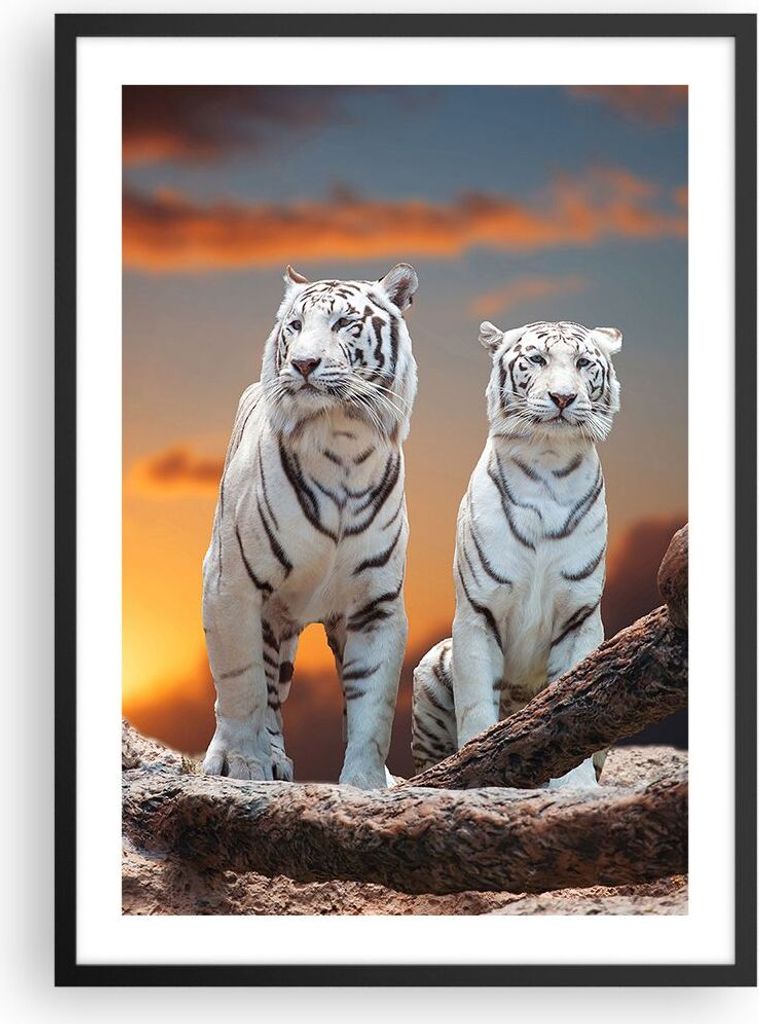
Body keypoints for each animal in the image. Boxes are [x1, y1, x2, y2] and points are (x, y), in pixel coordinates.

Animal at [202, 263, 419, 789]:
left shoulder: (377, 604)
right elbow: (241, 686)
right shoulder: (229, 584)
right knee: (261, 690)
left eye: (344, 324)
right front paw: (242, 765)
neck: (342, 441)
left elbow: (373, 706)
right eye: (295, 326)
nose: (303, 364)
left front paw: (367, 784)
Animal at [412, 318, 622, 788]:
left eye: (583, 363)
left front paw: (576, 787)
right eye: (537, 359)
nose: (563, 397)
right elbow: (476, 706)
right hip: (432, 666)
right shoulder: (477, 612)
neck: (548, 462)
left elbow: (576, 704)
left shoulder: (580, 616)